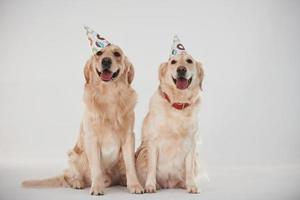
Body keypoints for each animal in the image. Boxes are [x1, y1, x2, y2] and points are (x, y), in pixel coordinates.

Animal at [135, 36, 204, 194]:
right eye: (173, 62)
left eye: (189, 61)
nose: (181, 69)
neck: (177, 104)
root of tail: (169, 184)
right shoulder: (152, 142)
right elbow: (152, 168)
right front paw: (150, 186)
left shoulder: (191, 144)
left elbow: (189, 169)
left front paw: (192, 186)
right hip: (141, 153)